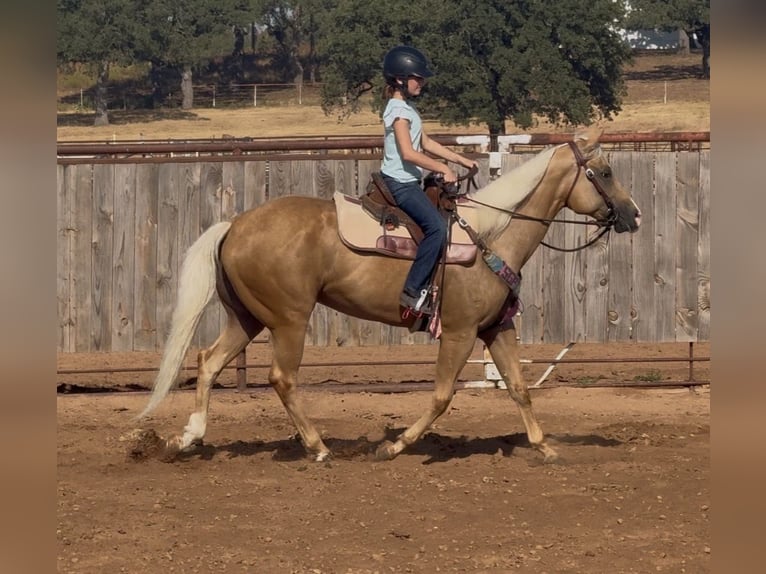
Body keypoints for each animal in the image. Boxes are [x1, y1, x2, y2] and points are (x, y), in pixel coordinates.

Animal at [136, 126, 641, 463]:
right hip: (288, 320)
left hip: (248, 317)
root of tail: (234, 225)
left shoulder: (497, 328)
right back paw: (318, 447)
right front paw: (395, 445)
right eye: (605, 171)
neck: (490, 237)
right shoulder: (458, 332)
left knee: (209, 362)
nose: (633, 214)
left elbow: (518, 387)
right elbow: (441, 396)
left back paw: (187, 438)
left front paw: (545, 446)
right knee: (282, 378)